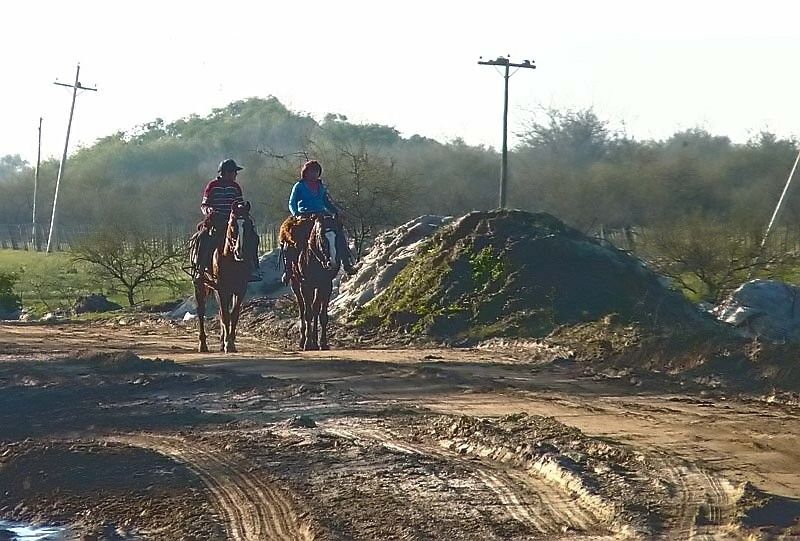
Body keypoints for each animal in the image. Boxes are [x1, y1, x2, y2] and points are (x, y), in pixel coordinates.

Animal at [194, 200, 256, 352]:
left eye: (248, 224)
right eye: (233, 224)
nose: (240, 252)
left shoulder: (240, 288)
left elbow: (233, 314)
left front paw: (230, 341)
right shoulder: (222, 288)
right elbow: (226, 315)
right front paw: (229, 343)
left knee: (222, 312)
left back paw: (222, 342)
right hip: (201, 285)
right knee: (201, 310)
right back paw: (203, 344)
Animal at [288, 213, 344, 348]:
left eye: (337, 236)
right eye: (321, 237)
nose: (333, 263)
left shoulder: (326, 285)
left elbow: (322, 314)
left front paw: (323, 342)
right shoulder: (306, 285)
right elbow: (308, 313)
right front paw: (308, 343)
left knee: (315, 308)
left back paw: (315, 340)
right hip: (295, 284)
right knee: (302, 308)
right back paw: (303, 339)